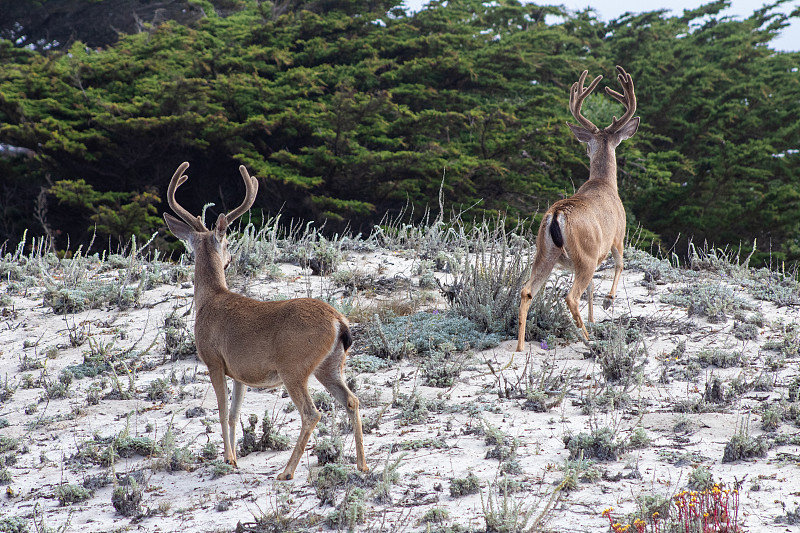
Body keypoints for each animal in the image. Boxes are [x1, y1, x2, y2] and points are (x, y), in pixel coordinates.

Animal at [162, 161, 368, 478]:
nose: (230, 259)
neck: (210, 300)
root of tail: (339, 322)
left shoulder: (213, 360)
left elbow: (221, 410)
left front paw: (228, 459)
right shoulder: (239, 372)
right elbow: (234, 413)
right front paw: (234, 457)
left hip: (293, 365)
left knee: (311, 412)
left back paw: (287, 471)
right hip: (330, 364)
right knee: (351, 399)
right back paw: (362, 464)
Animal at [516, 65, 640, 350]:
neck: (604, 183)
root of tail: (556, 215)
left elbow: (593, 288)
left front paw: (594, 317)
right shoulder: (618, 236)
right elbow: (620, 265)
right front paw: (609, 301)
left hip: (545, 251)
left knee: (527, 290)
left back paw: (519, 347)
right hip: (585, 254)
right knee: (571, 296)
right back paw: (587, 339)